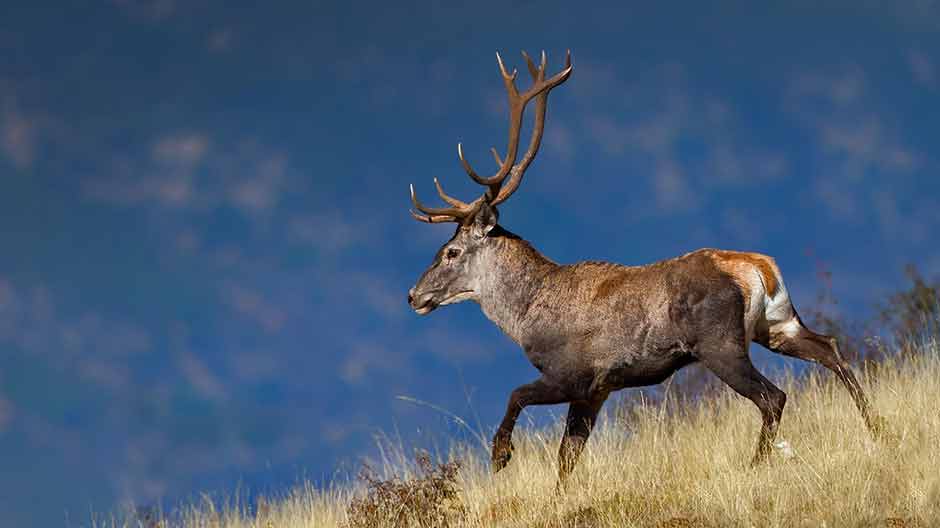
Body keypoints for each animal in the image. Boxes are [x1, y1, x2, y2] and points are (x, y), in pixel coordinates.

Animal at [404, 49, 880, 482]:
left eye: (450, 252)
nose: (413, 295)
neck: (525, 316)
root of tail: (757, 267)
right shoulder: (598, 390)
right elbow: (567, 457)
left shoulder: (575, 373)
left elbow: (516, 395)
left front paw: (500, 455)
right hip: (775, 324)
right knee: (830, 348)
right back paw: (875, 428)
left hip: (720, 343)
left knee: (773, 396)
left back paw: (756, 465)